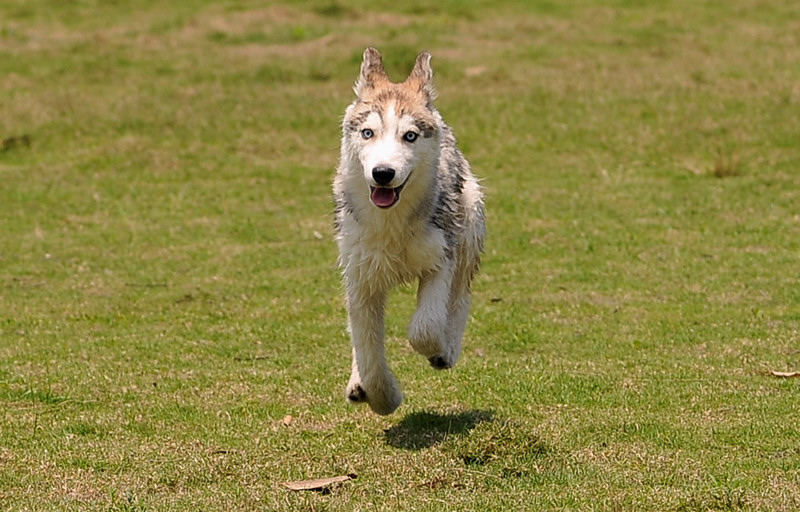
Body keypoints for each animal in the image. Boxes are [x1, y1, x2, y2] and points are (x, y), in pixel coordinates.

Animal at [332, 48, 484, 416]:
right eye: (368, 133)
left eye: (410, 136)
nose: (383, 173)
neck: (392, 225)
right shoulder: (360, 279)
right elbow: (367, 347)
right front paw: (383, 398)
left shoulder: (440, 259)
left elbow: (424, 328)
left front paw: (438, 350)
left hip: (470, 226)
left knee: (460, 297)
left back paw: (448, 349)